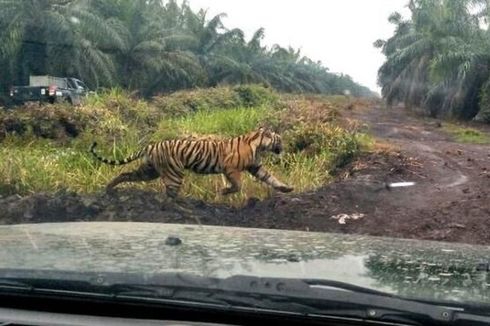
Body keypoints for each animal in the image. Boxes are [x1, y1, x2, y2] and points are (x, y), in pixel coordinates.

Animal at [89, 127, 292, 199]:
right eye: (279, 140)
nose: (283, 147)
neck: (259, 146)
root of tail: (151, 145)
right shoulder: (231, 168)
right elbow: (237, 185)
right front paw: (224, 192)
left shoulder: (256, 167)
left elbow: (271, 178)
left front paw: (286, 188)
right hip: (173, 173)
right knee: (170, 195)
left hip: (148, 171)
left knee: (125, 174)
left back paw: (109, 189)